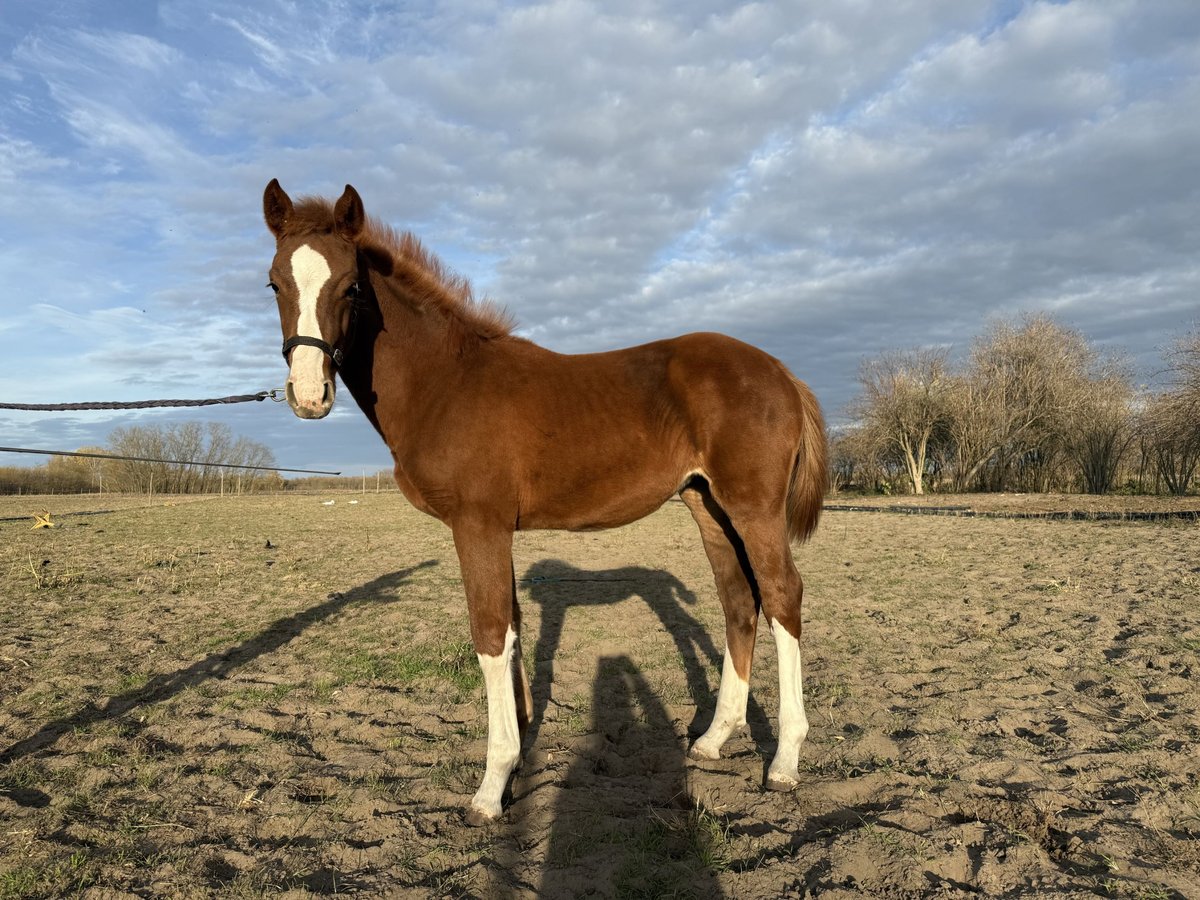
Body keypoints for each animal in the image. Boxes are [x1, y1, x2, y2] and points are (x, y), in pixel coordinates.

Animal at [262, 179, 829, 824]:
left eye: (351, 285)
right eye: (275, 283)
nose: (310, 395)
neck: (447, 381)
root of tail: (780, 370)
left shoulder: (477, 525)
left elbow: (489, 634)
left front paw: (491, 787)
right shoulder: (495, 529)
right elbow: (510, 628)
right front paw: (516, 757)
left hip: (754, 508)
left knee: (782, 595)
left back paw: (784, 762)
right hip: (707, 506)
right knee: (739, 601)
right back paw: (713, 738)